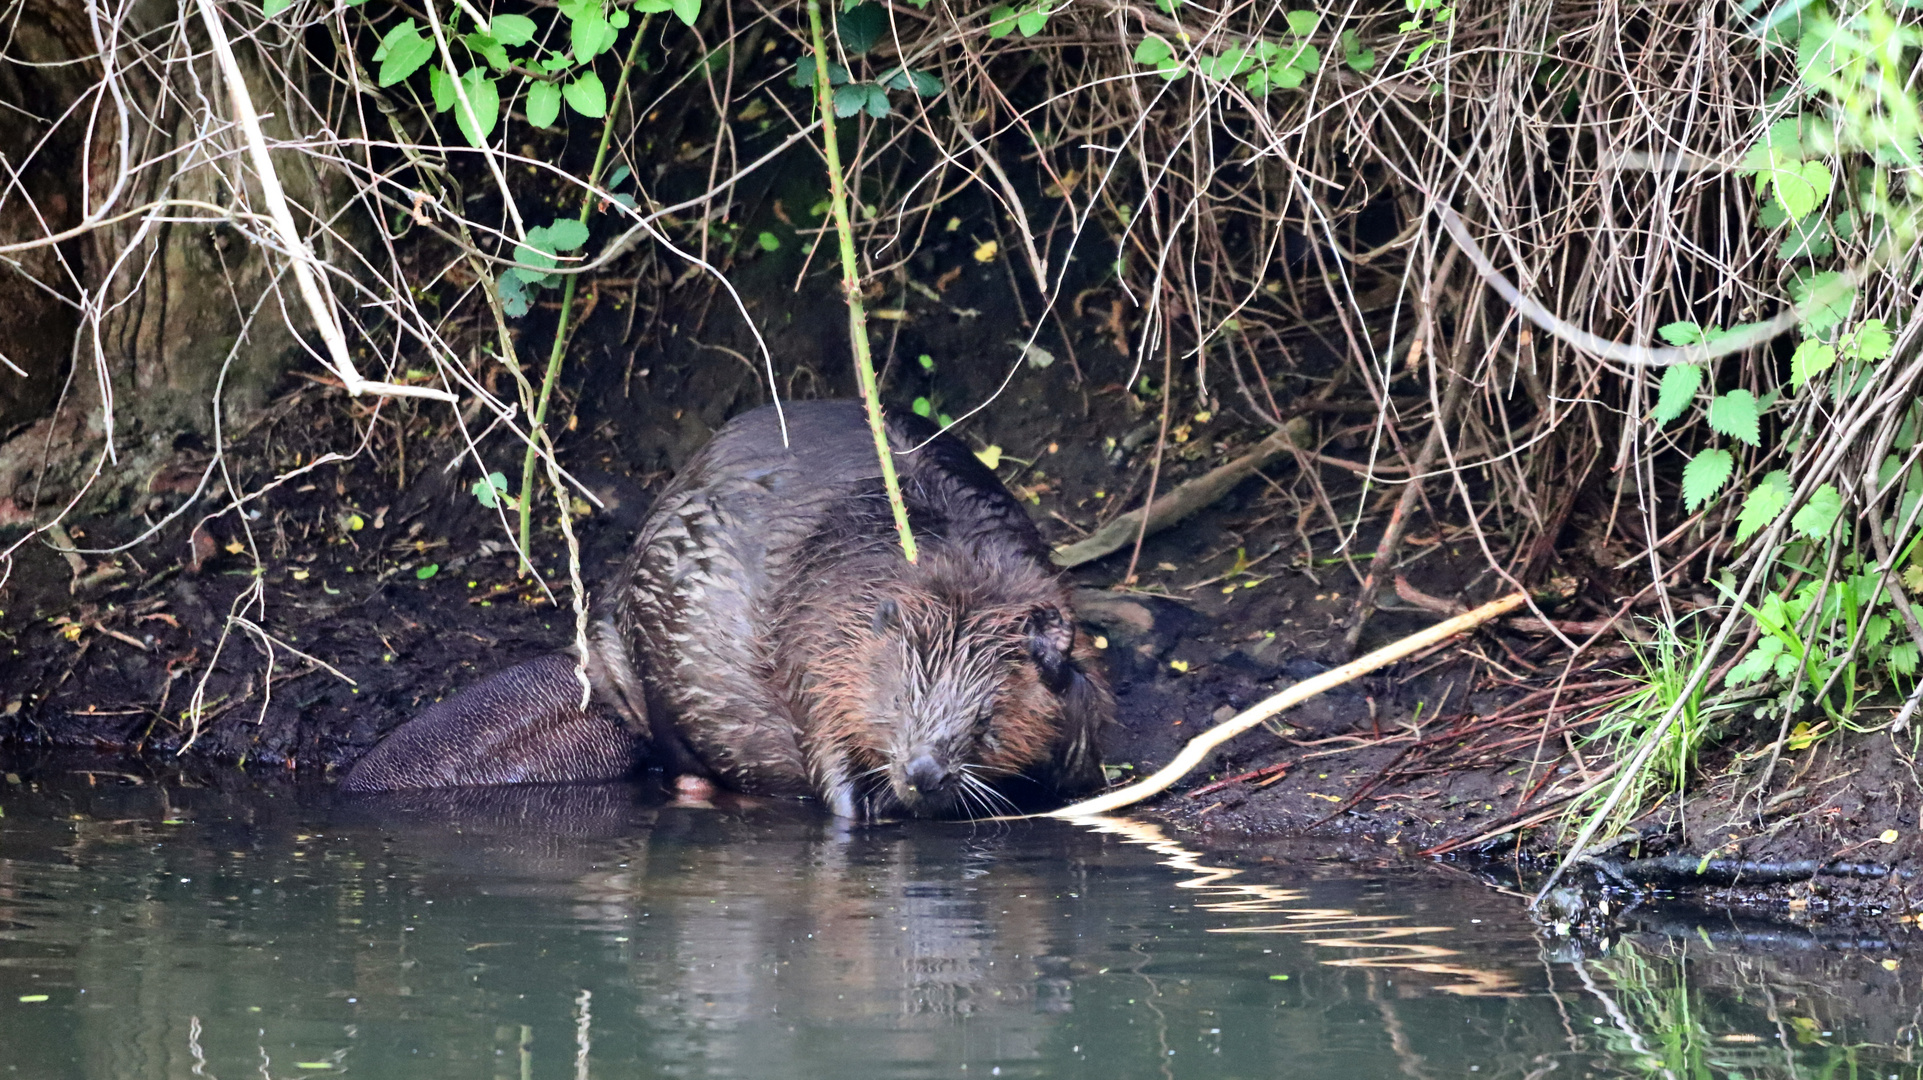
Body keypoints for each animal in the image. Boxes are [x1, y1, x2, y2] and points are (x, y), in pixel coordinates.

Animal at [338, 397, 1107, 814]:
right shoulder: (818, 651)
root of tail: (595, 681)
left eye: (985, 719)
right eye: (892, 702)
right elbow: (827, 757)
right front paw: (860, 809)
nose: (921, 773)